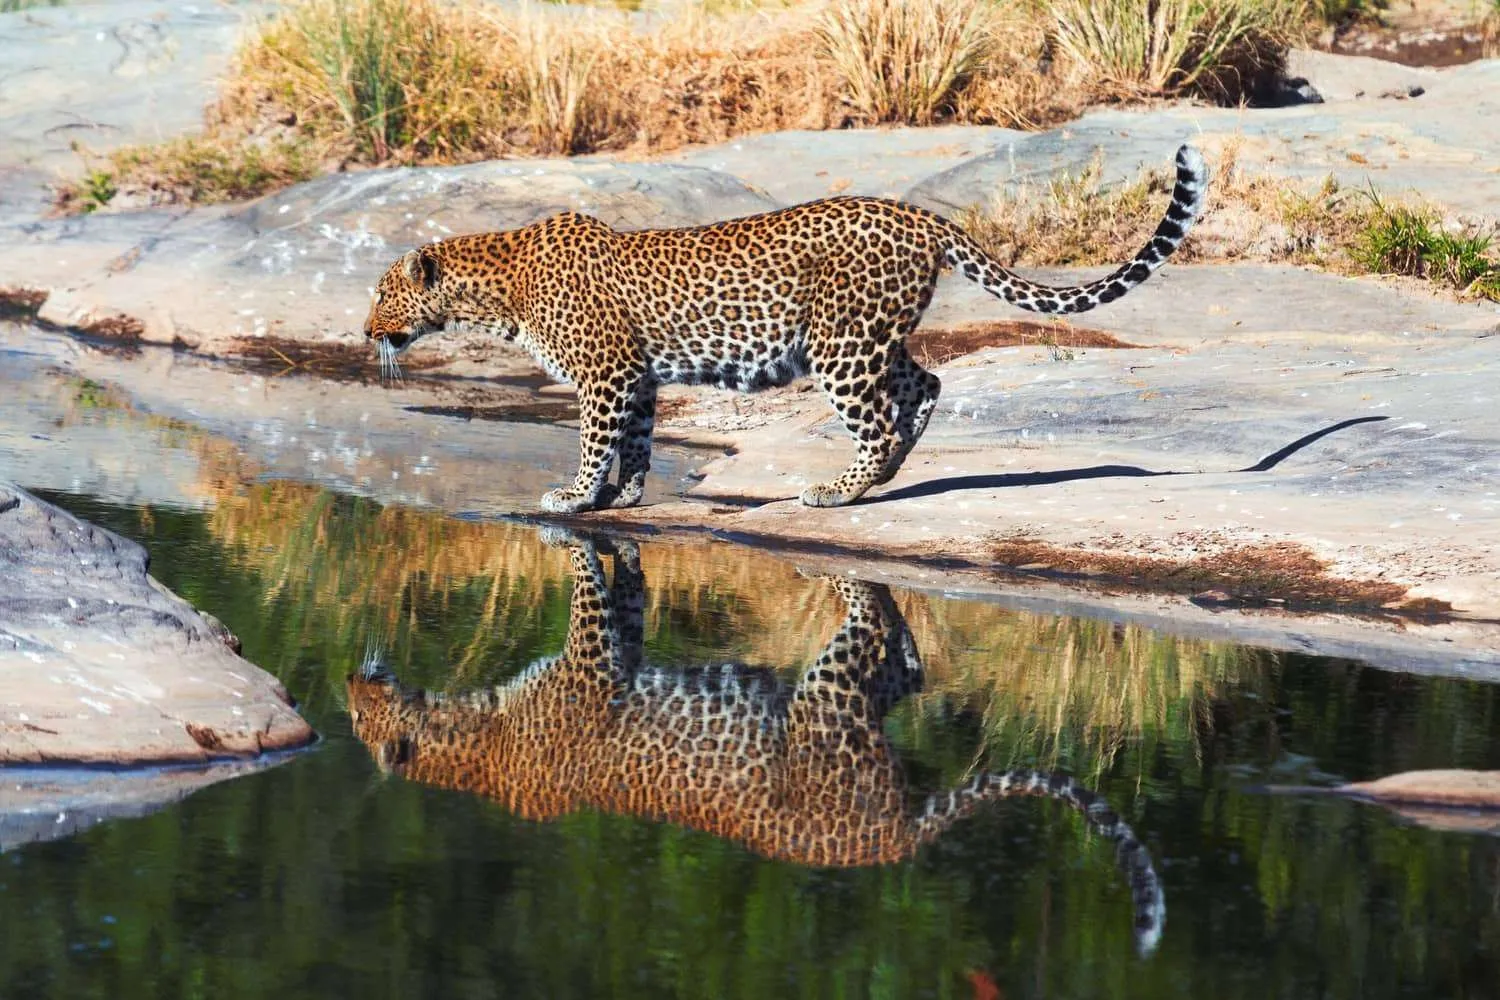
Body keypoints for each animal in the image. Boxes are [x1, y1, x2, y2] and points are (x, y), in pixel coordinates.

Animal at [348, 530, 1167, 955]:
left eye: (357, 721)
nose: (350, 679)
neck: (471, 731)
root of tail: (894, 839)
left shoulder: (589, 659)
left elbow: (589, 581)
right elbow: (628, 588)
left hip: (823, 703)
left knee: (870, 633)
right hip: (856, 708)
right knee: (904, 666)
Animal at [363, 144, 1206, 514]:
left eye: (380, 293)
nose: (366, 330)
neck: (498, 288)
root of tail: (920, 216)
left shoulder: (604, 375)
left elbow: (595, 439)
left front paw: (573, 496)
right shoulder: (636, 376)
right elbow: (636, 439)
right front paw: (624, 495)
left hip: (841, 347)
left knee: (879, 416)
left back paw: (840, 489)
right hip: (865, 338)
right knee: (926, 382)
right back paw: (891, 471)